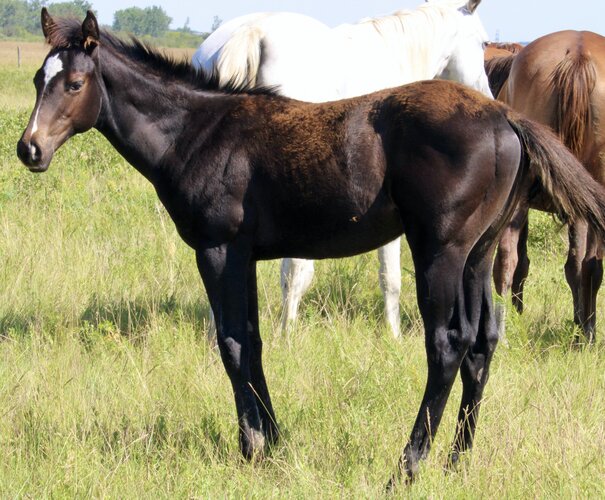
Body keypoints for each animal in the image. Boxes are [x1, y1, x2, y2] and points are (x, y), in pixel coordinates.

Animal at [193, 0, 490, 338]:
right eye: (484, 43)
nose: (486, 96)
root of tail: (251, 33)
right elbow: (390, 275)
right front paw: (393, 335)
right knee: (294, 270)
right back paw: (286, 334)